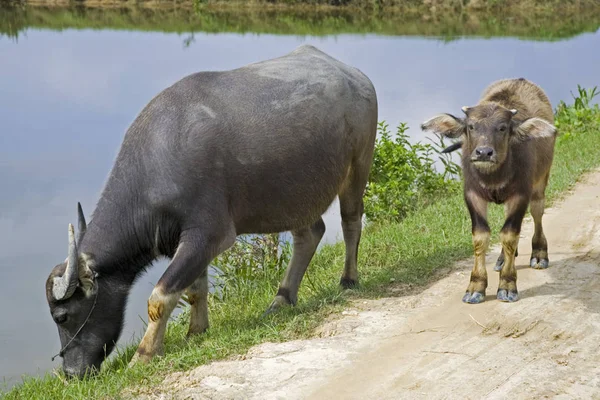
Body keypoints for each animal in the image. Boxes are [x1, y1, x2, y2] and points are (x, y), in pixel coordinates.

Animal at [44, 45, 378, 380]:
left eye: (62, 316)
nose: (71, 372)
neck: (157, 166)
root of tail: (357, 76)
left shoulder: (209, 234)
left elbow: (160, 297)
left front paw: (144, 354)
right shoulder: (187, 241)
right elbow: (194, 289)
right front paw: (196, 331)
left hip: (358, 164)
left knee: (350, 221)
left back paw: (348, 279)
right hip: (296, 195)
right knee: (310, 234)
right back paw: (281, 300)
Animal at [422, 77, 556, 304]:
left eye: (502, 128)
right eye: (471, 126)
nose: (484, 152)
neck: (494, 176)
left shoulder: (520, 194)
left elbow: (510, 234)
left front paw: (508, 285)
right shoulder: (472, 195)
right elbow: (480, 236)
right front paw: (475, 286)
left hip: (540, 181)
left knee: (537, 211)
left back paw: (539, 254)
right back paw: (502, 259)